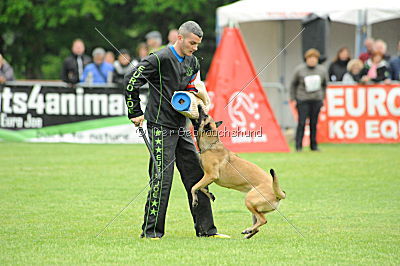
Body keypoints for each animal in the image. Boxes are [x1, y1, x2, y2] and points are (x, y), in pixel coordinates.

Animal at [190, 106, 284, 239]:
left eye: (204, 115)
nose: (199, 106)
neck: (211, 145)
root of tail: (278, 192)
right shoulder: (208, 177)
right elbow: (202, 187)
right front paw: (210, 194)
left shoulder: (211, 175)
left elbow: (194, 187)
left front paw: (195, 200)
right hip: (254, 207)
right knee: (258, 225)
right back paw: (249, 233)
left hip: (249, 200)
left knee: (263, 220)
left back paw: (247, 230)